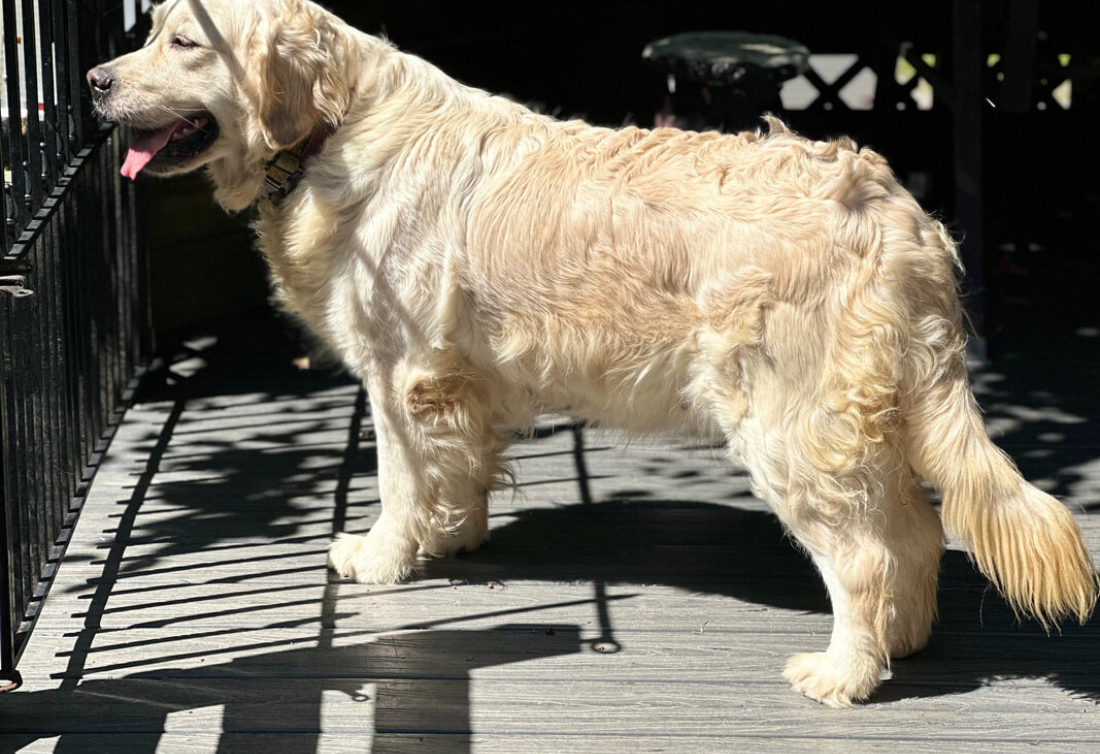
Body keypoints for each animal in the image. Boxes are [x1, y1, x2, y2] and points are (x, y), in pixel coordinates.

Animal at [88, 0, 1097, 707]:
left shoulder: (398, 372)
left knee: (865, 557)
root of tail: (899, 213)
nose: (96, 80)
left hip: (788, 425)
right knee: (917, 535)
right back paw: (903, 641)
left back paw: (844, 674)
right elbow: (457, 473)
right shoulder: (456, 380)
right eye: (149, 30)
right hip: (862, 418)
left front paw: (381, 558)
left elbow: (401, 480)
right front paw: (450, 538)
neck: (335, 126)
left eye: (186, 42)